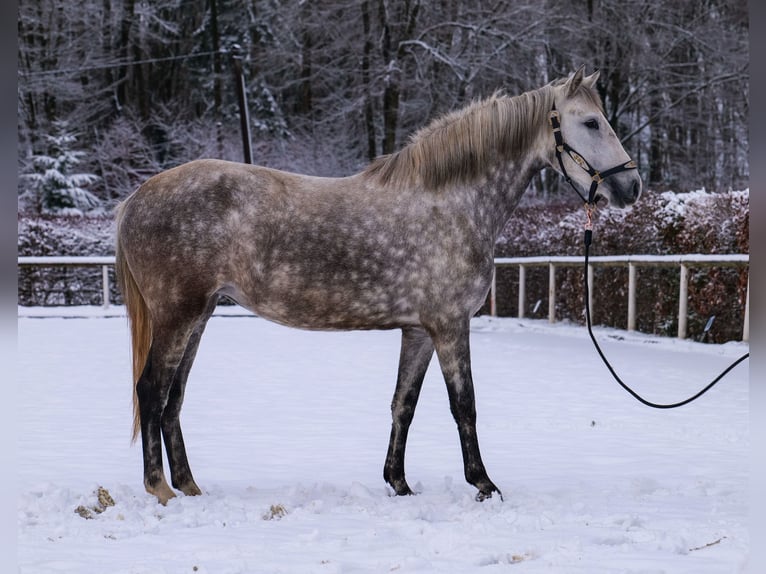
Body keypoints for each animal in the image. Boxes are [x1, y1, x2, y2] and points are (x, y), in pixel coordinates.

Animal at [114, 68, 640, 508]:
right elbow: (464, 405)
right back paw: (160, 489)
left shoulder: (420, 331)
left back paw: (188, 485)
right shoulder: (450, 326)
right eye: (591, 122)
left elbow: (403, 404)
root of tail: (136, 198)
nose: (631, 187)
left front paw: (398, 483)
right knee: (151, 390)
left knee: (173, 399)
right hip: (178, 316)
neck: (452, 202)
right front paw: (484, 484)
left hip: (199, 316)